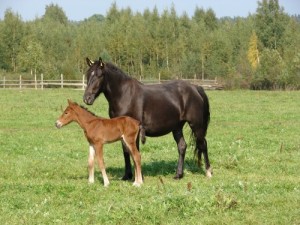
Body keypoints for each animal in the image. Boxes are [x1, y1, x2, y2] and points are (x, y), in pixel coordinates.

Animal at [83, 57, 212, 179]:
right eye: (88, 74)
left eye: (99, 75)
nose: (86, 98)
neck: (124, 95)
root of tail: (195, 88)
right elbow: (126, 151)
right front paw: (127, 176)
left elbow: (135, 152)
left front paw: (139, 177)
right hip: (177, 127)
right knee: (182, 146)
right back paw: (178, 175)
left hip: (196, 125)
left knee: (203, 144)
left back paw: (208, 172)